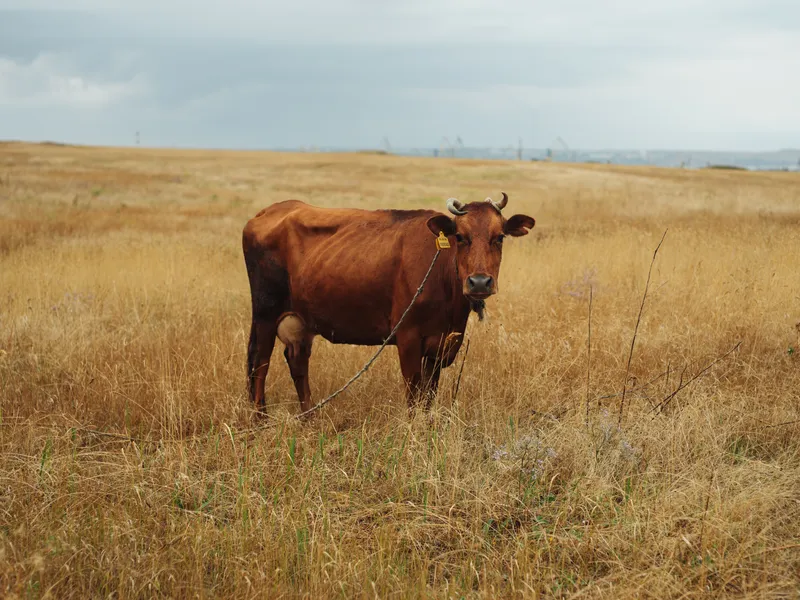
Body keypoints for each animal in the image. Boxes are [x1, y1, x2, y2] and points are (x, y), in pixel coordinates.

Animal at [241, 192, 536, 416]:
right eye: (460, 237)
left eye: (500, 237)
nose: (479, 282)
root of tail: (270, 211)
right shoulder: (408, 338)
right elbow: (414, 395)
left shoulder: (441, 345)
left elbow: (429, 395)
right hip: (265, 313)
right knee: (260, 362)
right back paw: (260, 420)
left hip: (301, 320)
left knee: (297, 361)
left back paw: (309, 417)